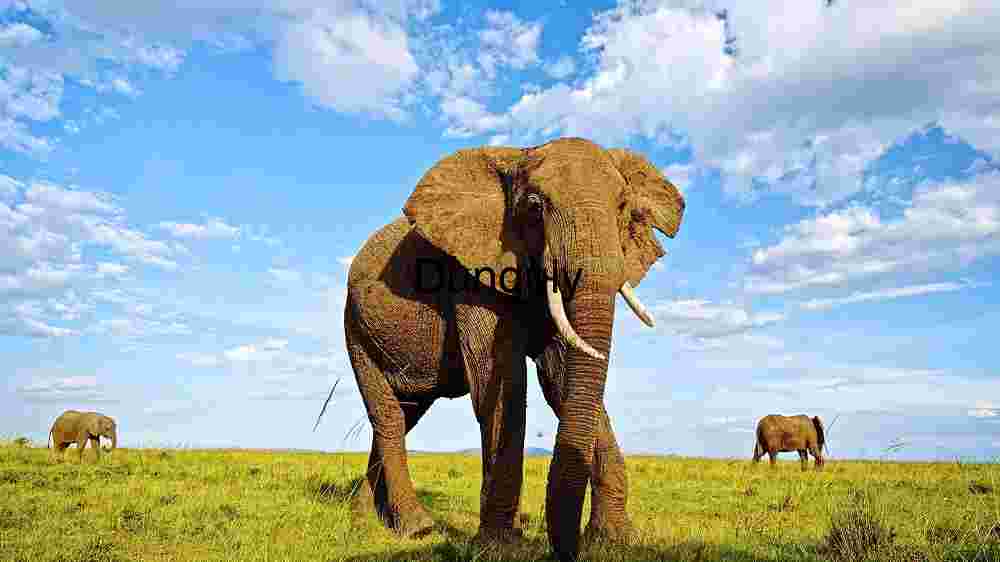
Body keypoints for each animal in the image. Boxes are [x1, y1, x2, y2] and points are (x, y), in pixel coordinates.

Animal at [343, 137, 685, 561]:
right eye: (535, 207)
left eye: (623, 206)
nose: (566, 551)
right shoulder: (473, 275)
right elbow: (506, 384)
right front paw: (500, 547)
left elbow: (562, 381)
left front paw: (615, 539)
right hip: (355, 327)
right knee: (389, 415)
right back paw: (416, 528)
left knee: (406, 414)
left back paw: (365, 517)